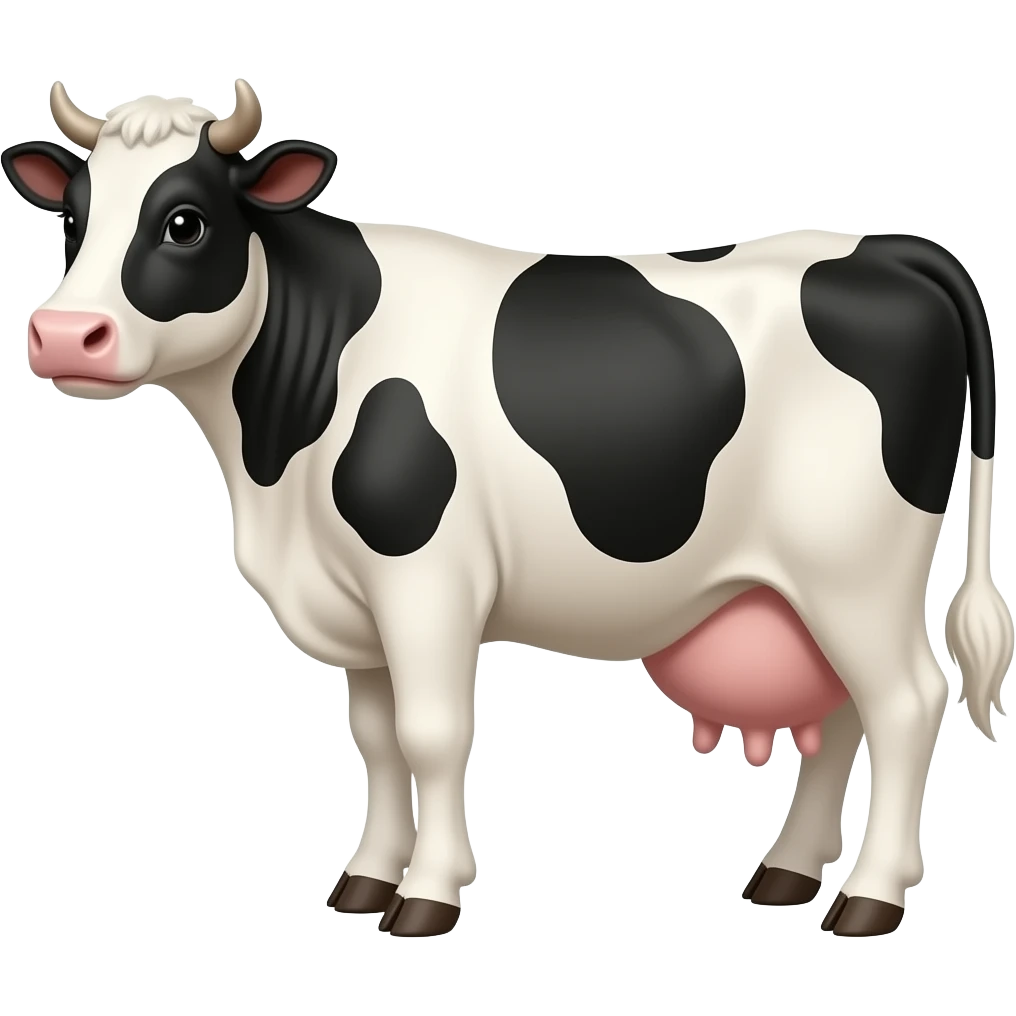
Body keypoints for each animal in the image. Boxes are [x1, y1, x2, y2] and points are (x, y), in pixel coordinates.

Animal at [3, 79, 1011, 940]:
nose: (63, 336)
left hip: (855, 568)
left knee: (906, 703)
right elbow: (377, 741)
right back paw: (788, 875)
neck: (275, 460)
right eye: (74, 219)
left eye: (184, 222)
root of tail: (885, 247)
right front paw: (365, 880)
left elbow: (433, 734)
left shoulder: (426, 581)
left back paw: (869, 900)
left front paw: (427, 897)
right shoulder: (356, 597)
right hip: (801, 586)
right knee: (842, 715)